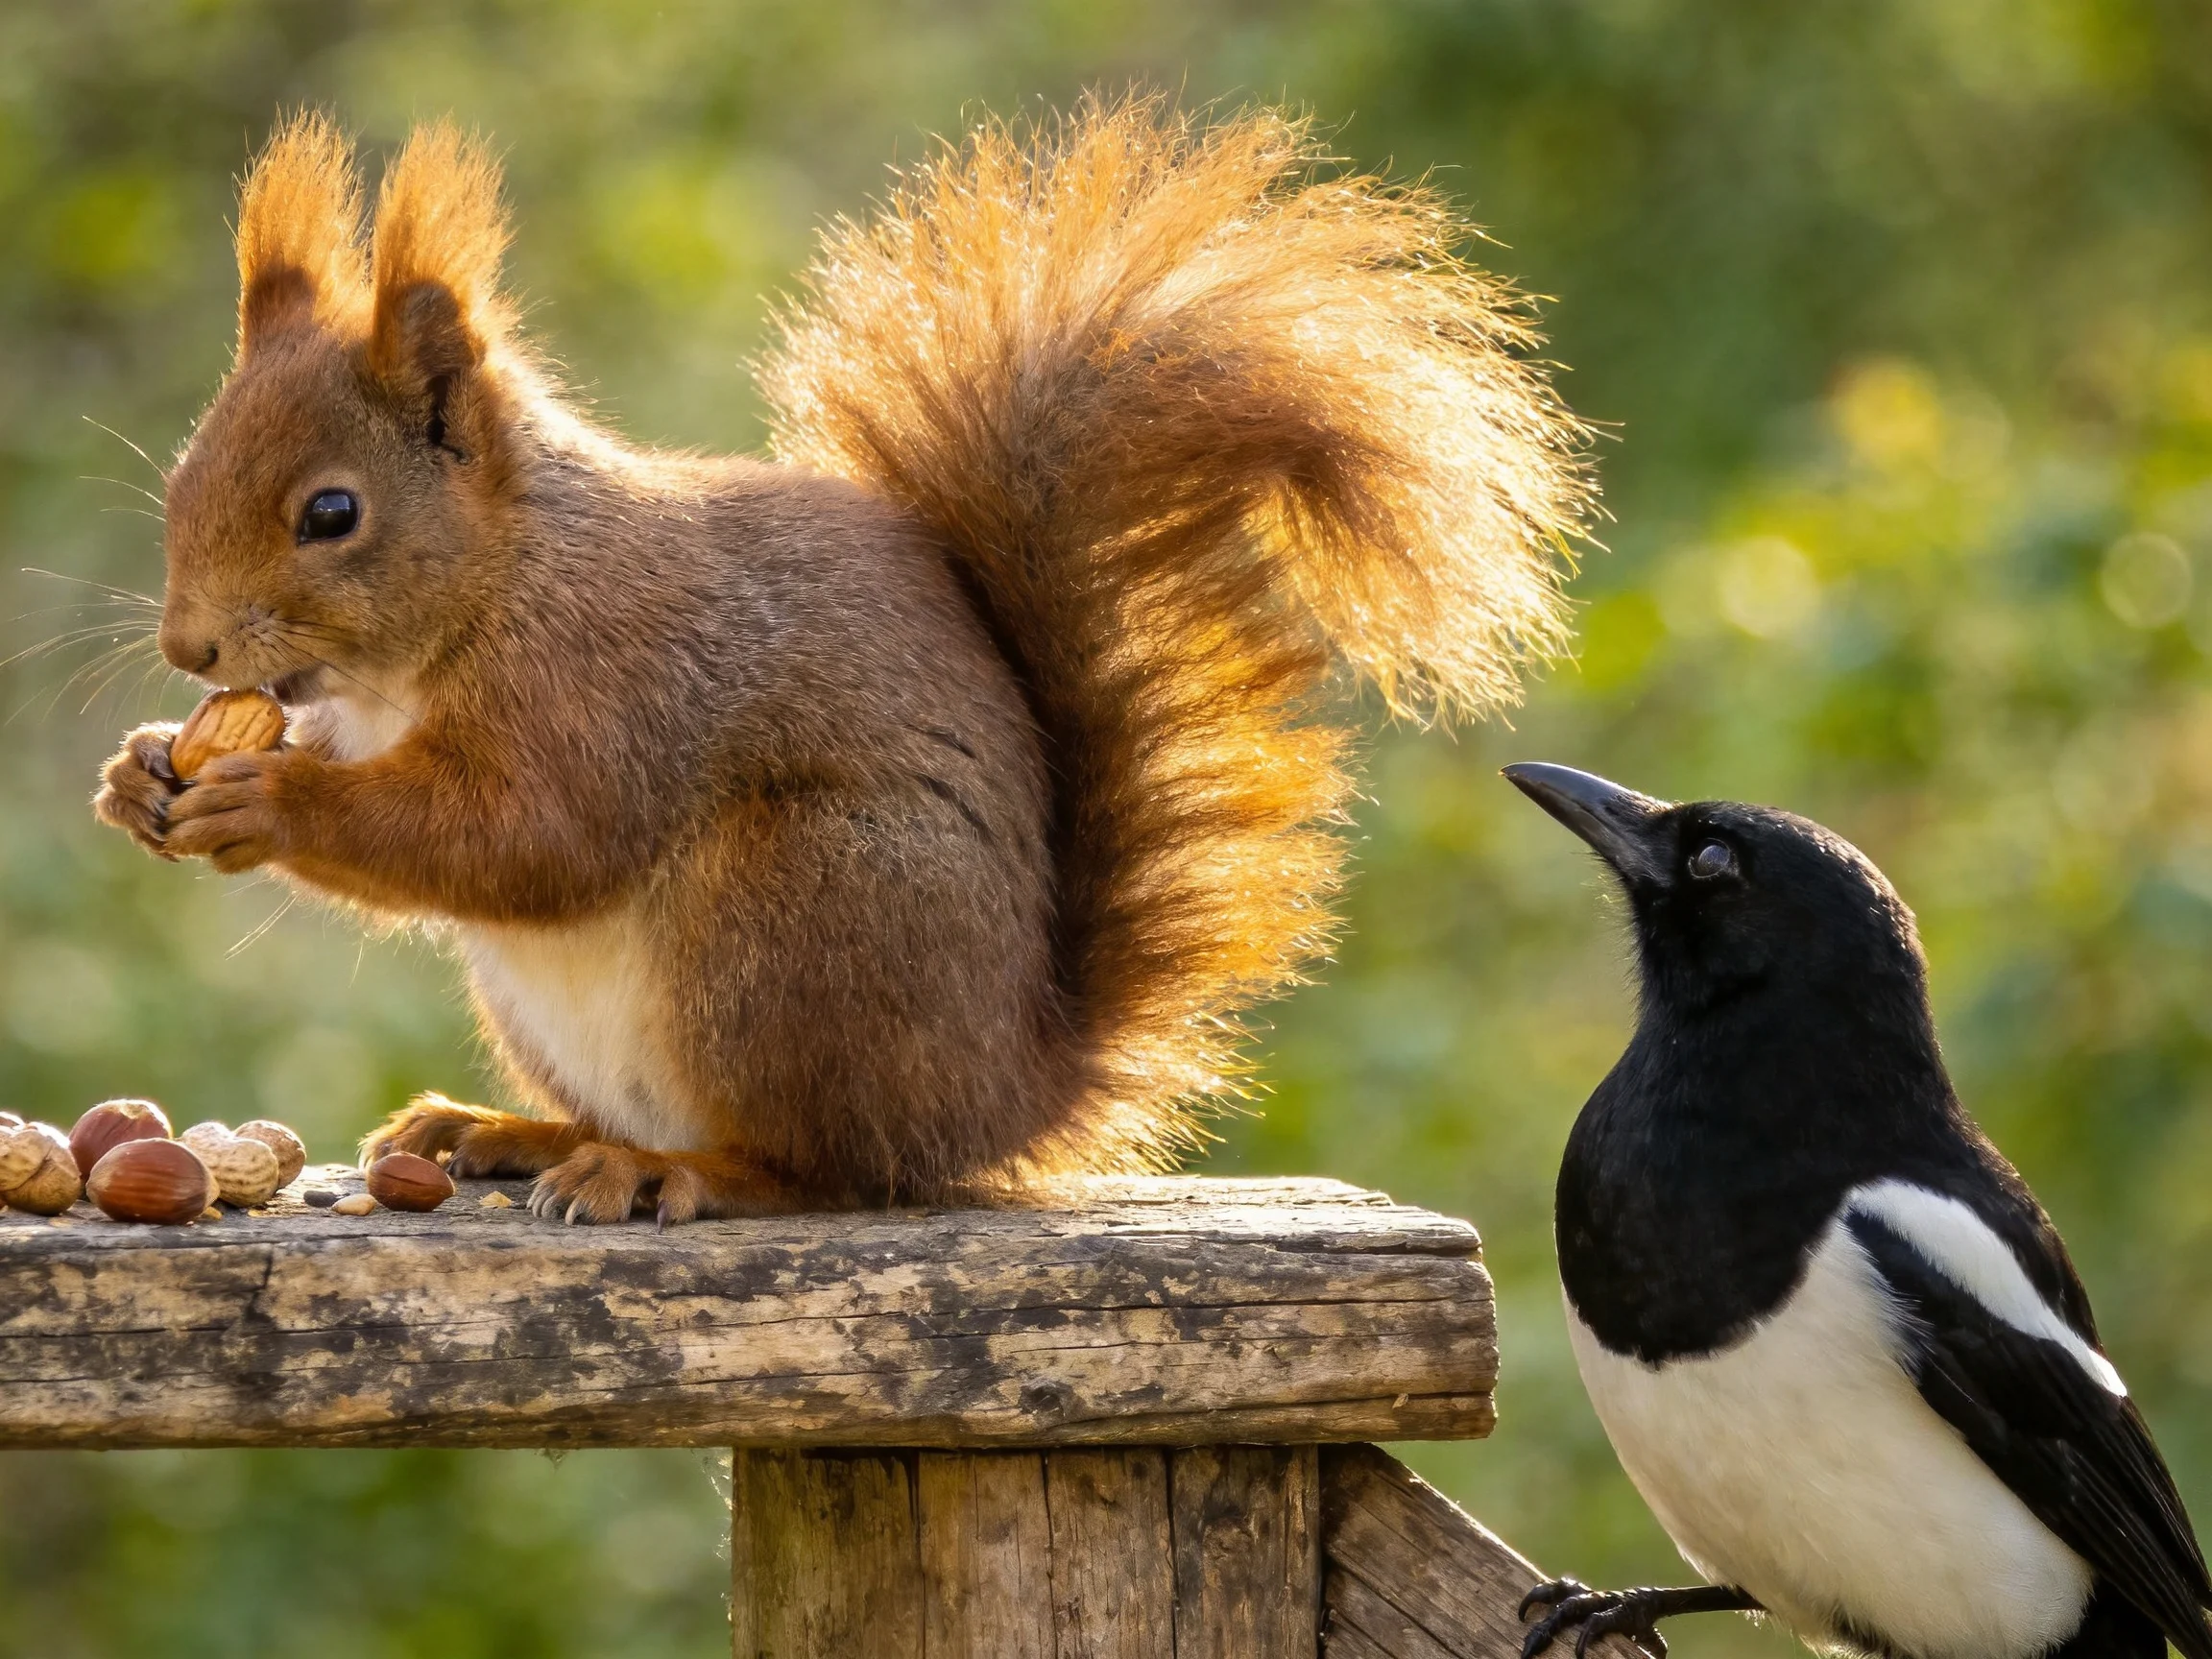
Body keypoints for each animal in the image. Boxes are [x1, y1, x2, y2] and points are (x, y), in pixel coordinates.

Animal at [92, 99, 1588, 1223]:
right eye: (183, 473)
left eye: (331, 514)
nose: (187, 645)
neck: (492, 584)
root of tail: (1003, 1088)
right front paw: (140, 776)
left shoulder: (609, 674)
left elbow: (532, 835)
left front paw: (266, 800)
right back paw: (508, 1133)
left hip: (794, 912)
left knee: (824, 1169)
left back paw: (671, 1172)